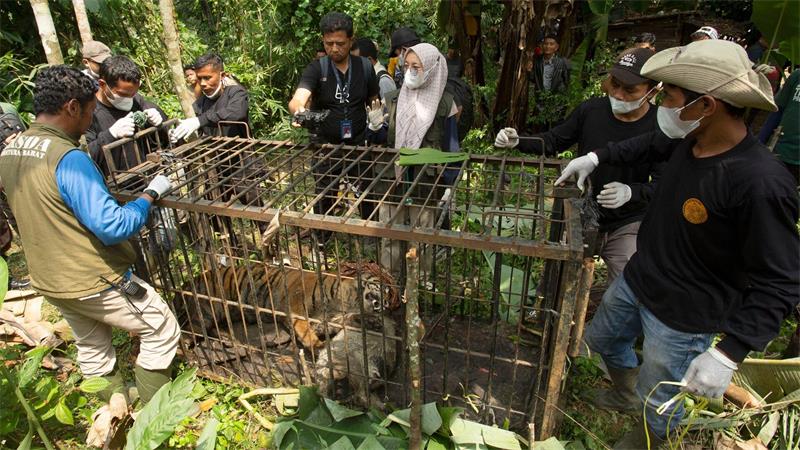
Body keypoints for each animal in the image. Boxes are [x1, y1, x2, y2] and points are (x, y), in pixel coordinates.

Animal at [173, 262, 396, 351]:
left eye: (389, 305)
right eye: (386, 289)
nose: (383, 305)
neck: (347, 300)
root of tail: (186, 283)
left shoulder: (327, 319)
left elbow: (346, 321)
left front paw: (372, 322)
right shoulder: (295, 307)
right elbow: (304, 329)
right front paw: (317, 346)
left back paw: (228, 340)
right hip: (206, 310)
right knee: (188, 330)